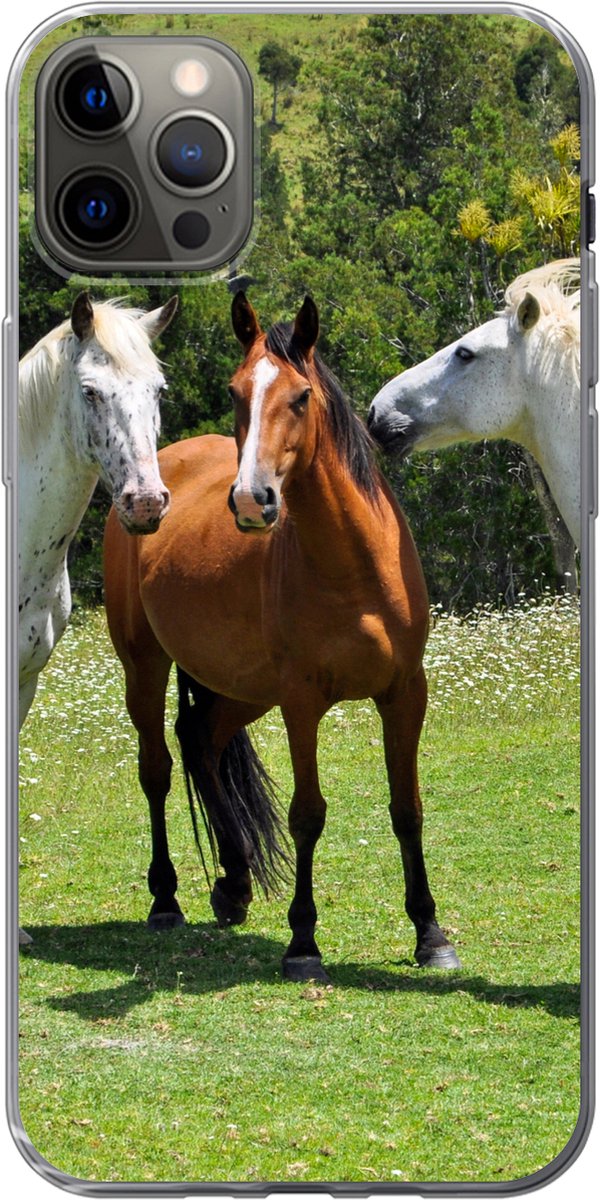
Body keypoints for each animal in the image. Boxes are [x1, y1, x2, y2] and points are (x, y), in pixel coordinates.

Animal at [104, 293, 460, 982]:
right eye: (236, 391)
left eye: (300, 396)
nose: (252, 500)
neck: (354, 566)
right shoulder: (301, 702)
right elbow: (307, 815)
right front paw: (303, 942)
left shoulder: (406, 693)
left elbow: (408, 809)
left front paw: (430, 934)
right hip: (146, 666)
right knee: (158, 769)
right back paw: (166, 900)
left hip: (244, 688)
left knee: (202, 739)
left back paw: (234, 883)